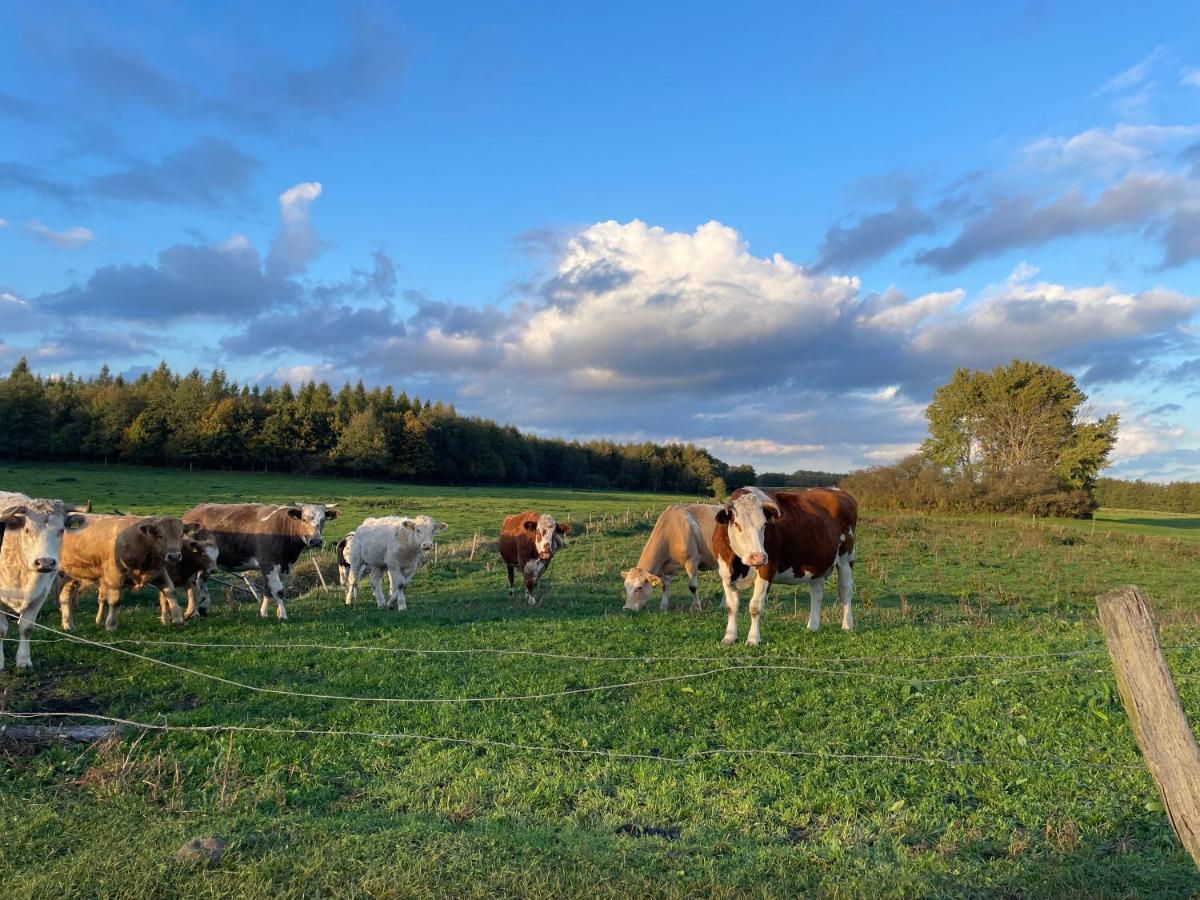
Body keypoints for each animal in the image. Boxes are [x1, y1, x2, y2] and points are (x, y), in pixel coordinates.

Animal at [0, 494, 87, 672]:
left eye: (61, 530)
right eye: (27, 529)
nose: (45, 562)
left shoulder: (40, 594)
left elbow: (26, 628)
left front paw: (24, 661)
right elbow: (1, 630)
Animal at [58, 513, 193, 633]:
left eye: (181, 535)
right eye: (160, 536)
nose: (174, 556)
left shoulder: (158, 573)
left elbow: (170, 591)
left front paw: (178, 618)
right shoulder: (115, 577)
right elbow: (115, 600)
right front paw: (111, 625)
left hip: (71, 575)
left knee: (64, 597)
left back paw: (68, 624)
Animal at [184, 501, 340, 619]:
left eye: (323, 520)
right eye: (304, 519)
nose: (316, 541)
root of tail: (191, 513)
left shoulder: (282, 566)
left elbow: (268, 590)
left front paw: (264, 613)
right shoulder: (268, 563)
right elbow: (278, 590)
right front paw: (283, 615)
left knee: (200, 580)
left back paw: (202, 608)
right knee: (193, 583)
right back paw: (195, 611)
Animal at [710, 489, 854, 643]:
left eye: (764, 525)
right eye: (737, 524)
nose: (758, 557)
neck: (737, 563)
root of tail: (837, 490)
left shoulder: (767, 569)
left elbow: (755, 606)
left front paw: (753, 639)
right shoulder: (725, 572)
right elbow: (732, 607)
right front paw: (729, 637)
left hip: (846, 558)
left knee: (845, 591)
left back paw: (847, 625)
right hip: (818, 565)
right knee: (817, 594)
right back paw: (813, 627)